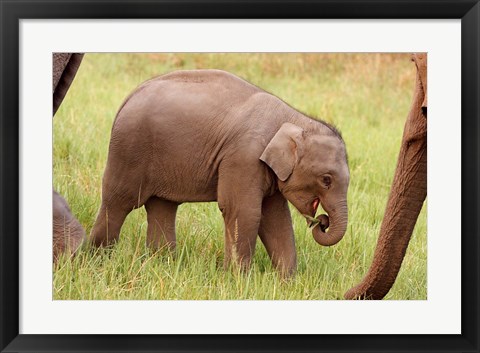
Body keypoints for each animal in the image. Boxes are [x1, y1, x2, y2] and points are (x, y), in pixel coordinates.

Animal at [92, 69, 350, 276]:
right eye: (326, 180)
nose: (321, 221)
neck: (294, 118)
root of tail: (129, 96)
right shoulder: (243, 158)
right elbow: (244, 211)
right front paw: (239, 280)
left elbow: (276, 218)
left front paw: (287, 281)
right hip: (129, 148)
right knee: (119, 201)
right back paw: (98, 256)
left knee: (162, 205)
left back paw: (162, 263)